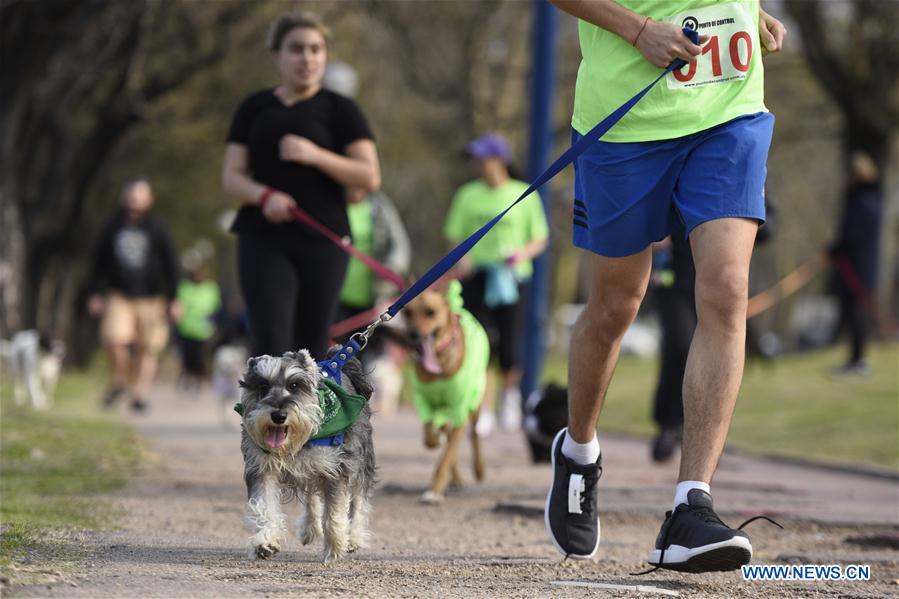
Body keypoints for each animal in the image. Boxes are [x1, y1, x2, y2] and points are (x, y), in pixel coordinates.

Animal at [237, 350, 374, 564]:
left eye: (295, 385)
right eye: (263, 386)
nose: (278, 415)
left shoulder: (336, 469)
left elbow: (334, 514)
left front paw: (334, 550)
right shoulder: (262, 468)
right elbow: (264, 504)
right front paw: (265, 542)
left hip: (361, 460)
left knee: (359, 500)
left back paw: (354, 538)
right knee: (311, 496)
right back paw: (310, 528)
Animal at [402, 282, 492, 502]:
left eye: (431, 312)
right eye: (408, 313)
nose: (413, 335)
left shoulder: (460, 408)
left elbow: (447, 456)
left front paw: (435, 490)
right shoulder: (425, 402)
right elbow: (429, 438)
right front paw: (435, 438)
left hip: (475, 400)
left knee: (473, 435)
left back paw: (478, 469)